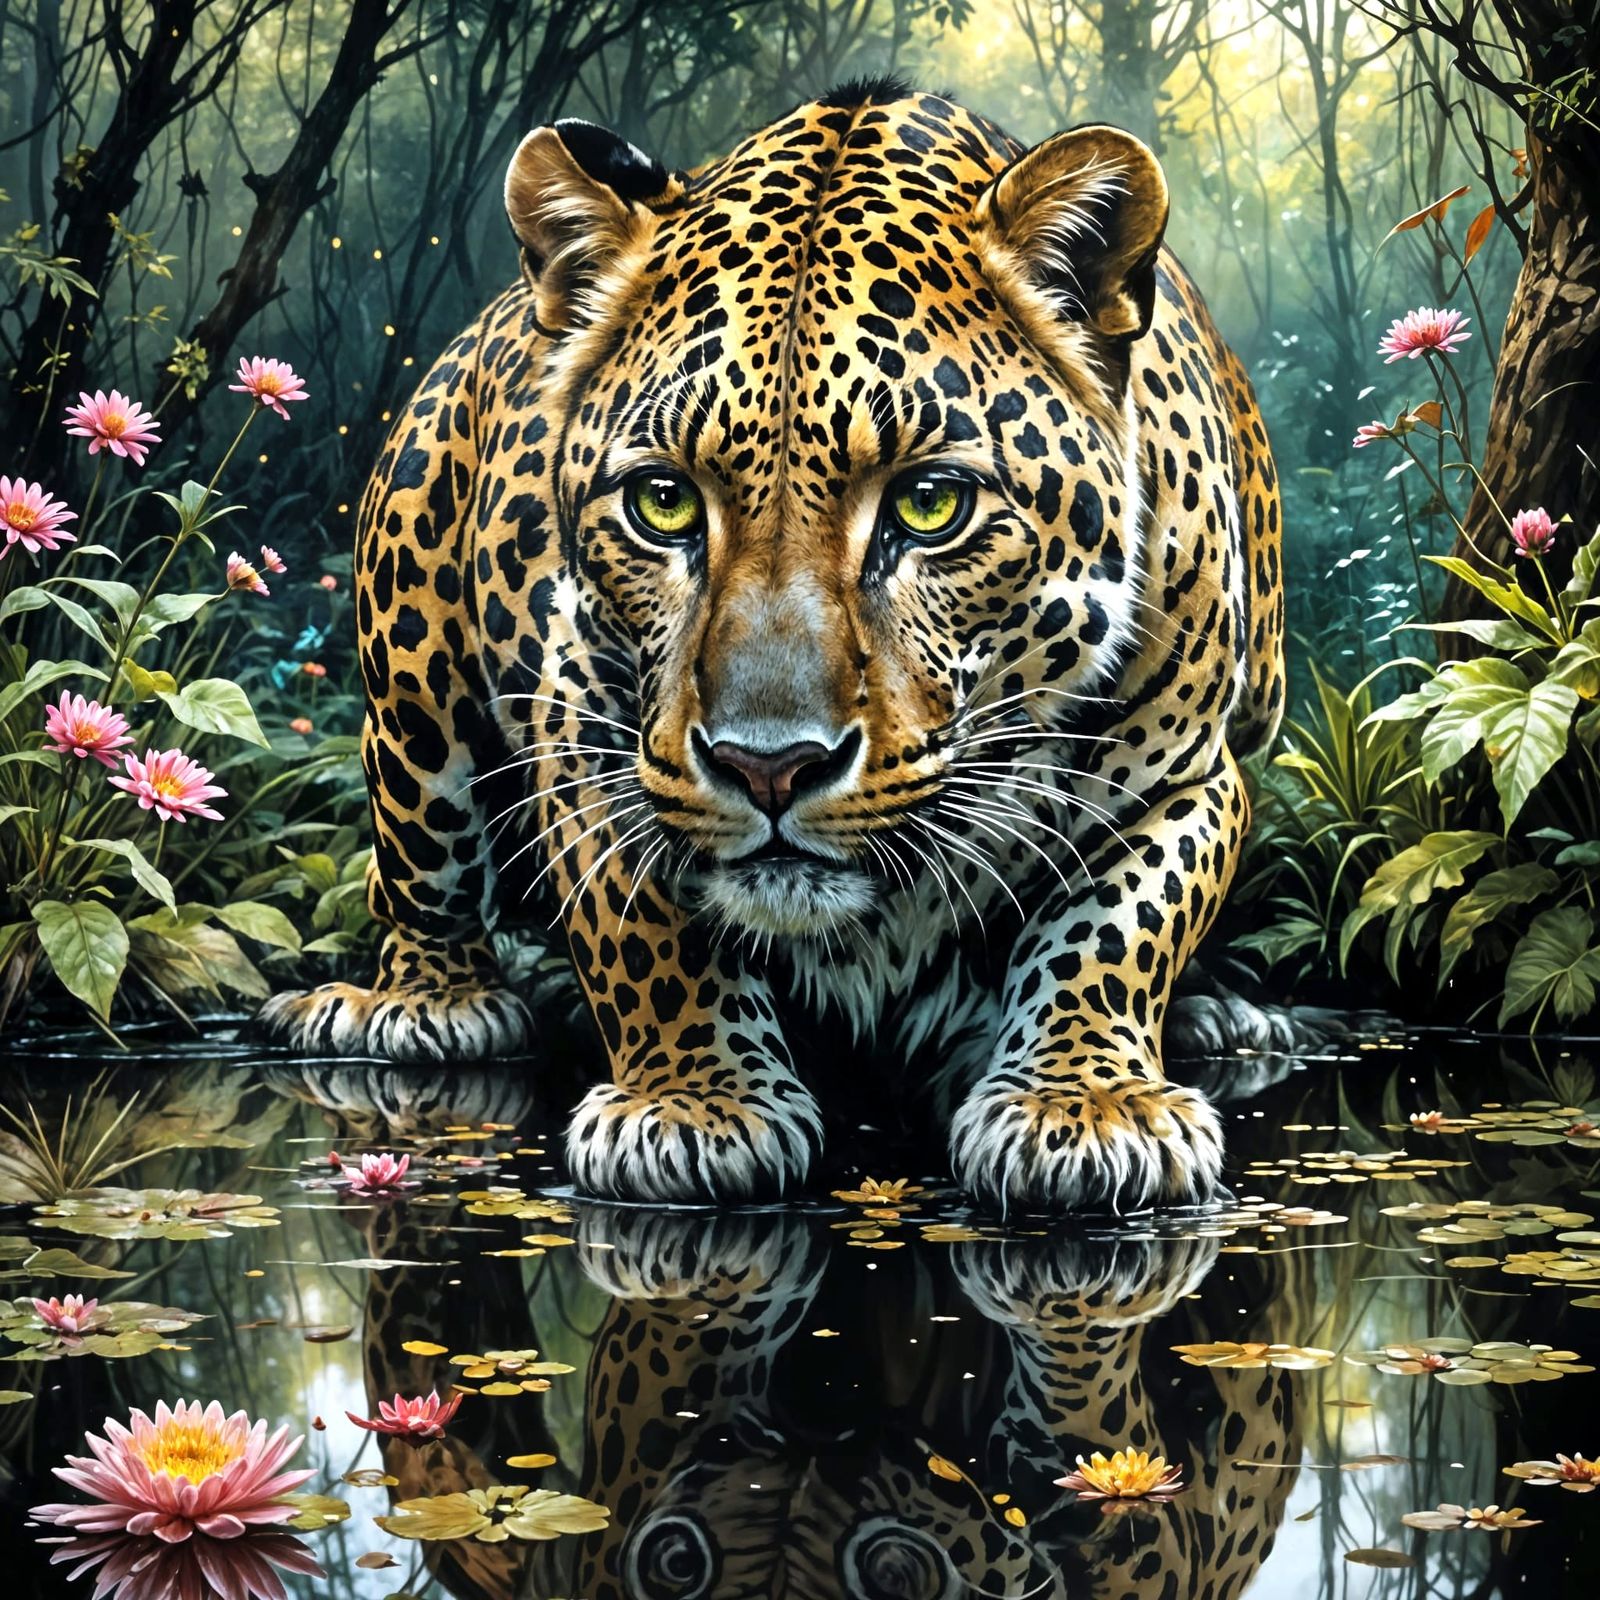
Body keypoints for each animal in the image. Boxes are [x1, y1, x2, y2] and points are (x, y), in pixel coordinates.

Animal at [260, 74, 1287, 1214]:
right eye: (663, 501)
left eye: (930, 505)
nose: (770, 767)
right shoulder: (587, 744)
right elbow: (645, 932)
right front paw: (694, 1107)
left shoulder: (1188, 773)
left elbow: (1117, 923)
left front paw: (1084, 1106)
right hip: (410, 674)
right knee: (416, 866)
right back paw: (419, 1004)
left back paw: (1218, 1014)